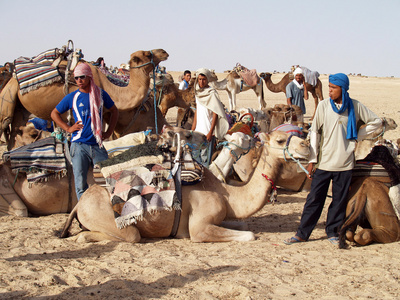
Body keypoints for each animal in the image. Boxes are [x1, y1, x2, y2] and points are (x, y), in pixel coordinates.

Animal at [0, 49, 169, 145]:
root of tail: (13, 77)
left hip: (20, 109)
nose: (164, 51)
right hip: (7, 98)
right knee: (5, 123)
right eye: (147, 54)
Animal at [58, 130, 310, 243]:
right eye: (280, 140)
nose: (306, 145)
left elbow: (244, 224)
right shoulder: (198, 228)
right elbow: (249, 234)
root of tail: (81, 202)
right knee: (128, 235)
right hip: (114, 221)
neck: (226, 194)